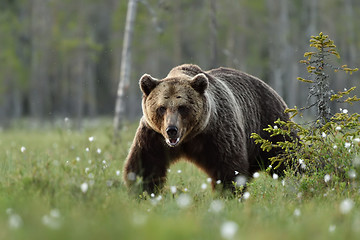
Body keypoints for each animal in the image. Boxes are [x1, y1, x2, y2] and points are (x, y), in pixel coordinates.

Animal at [124, 63, 292, 193]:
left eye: (182, 107)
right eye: (161, 108)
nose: (171, 130)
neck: (189, 137)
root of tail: (269, 88)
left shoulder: (217, 133)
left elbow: (229, 168)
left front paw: (229, 193)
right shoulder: (154, 136)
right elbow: (145, 165)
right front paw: (143, 190)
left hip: (268, 126)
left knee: (287, 156)